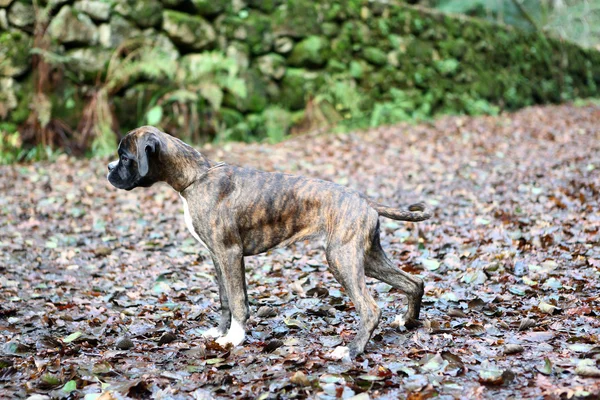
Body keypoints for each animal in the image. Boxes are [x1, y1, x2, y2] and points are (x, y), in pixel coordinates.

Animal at [109, 126, 432, 358]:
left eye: (125, 158)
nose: (109, 169)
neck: (196, 176)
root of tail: (365, 200)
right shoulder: (217, 256)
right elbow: (225, 299)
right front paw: (220, 333)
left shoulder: (229, 254)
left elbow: (237, 301)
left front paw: (234, 339)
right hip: (367, 257)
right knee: (413, 283)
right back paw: (406, 322)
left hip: (342, 259)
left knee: (370, 308)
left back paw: (352, 350)